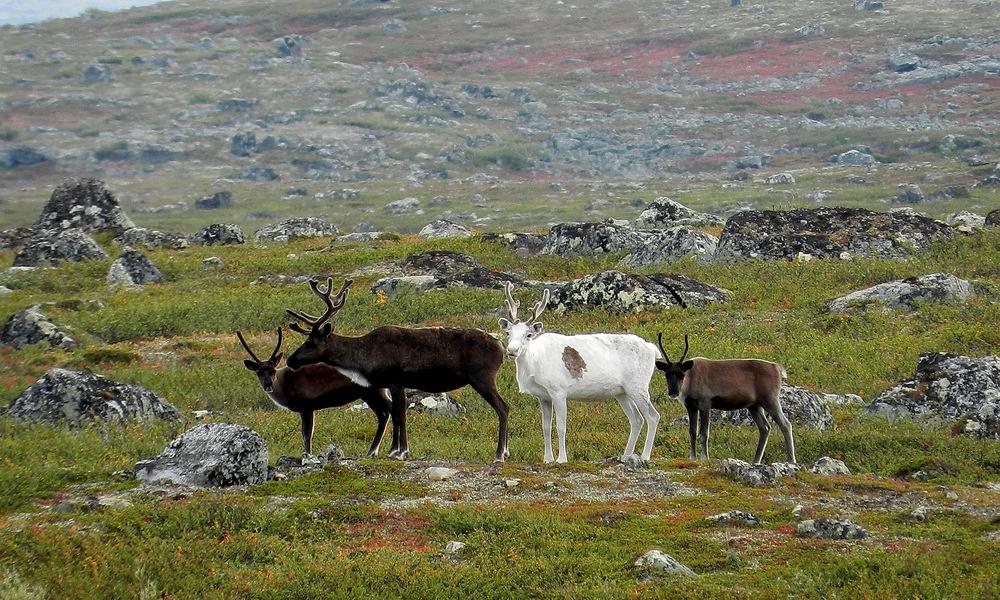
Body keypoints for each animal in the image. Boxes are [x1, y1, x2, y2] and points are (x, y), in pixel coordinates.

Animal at [237, 326, 404, 457]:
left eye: (273, 371)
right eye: (259, 372)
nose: (268, 385)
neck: (284, 385)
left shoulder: (307, 406)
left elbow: (307, 434)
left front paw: (308, 455)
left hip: (373, 392)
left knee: (390, 411)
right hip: (370, 393)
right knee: (383, 414)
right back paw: (372, 452)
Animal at [284, 277, 511, 462]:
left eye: (311, 342)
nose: (290, 360)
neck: (364, 355)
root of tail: (502, 347)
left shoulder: (395, 381)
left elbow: (400, 414)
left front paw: (401, 451)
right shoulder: (391, 384)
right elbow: (395, 413)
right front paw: (394, 450)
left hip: (482, 378)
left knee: (503, 407)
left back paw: (500, 454)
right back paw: (505, 452)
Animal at [499, 283, 661, 464]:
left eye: (528, 335)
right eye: (508, 333)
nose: (512, 350)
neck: (535, 363)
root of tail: (652, 349)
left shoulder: (558, 391)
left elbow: (561, 426)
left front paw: (562, 459)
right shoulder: (543, 396)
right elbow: (546, 427)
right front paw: (547, 459)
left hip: (638, 386)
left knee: (653, 416)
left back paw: (645, 456)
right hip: (622, 392)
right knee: (637, 419)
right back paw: (626, 455)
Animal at [655, 333, 795, 464]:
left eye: (681, 374)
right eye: (667, 374)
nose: (673, 392)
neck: (690, 381)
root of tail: (777, 368)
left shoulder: (705, 403)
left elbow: (704, 433)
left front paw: (705, 457)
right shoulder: (690, 406)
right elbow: (692, 432)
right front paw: (692, 457)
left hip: (770, 399)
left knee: (786, 424)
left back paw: (791, 460)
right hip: (754, 405)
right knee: (765, 428)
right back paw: (755, 461)